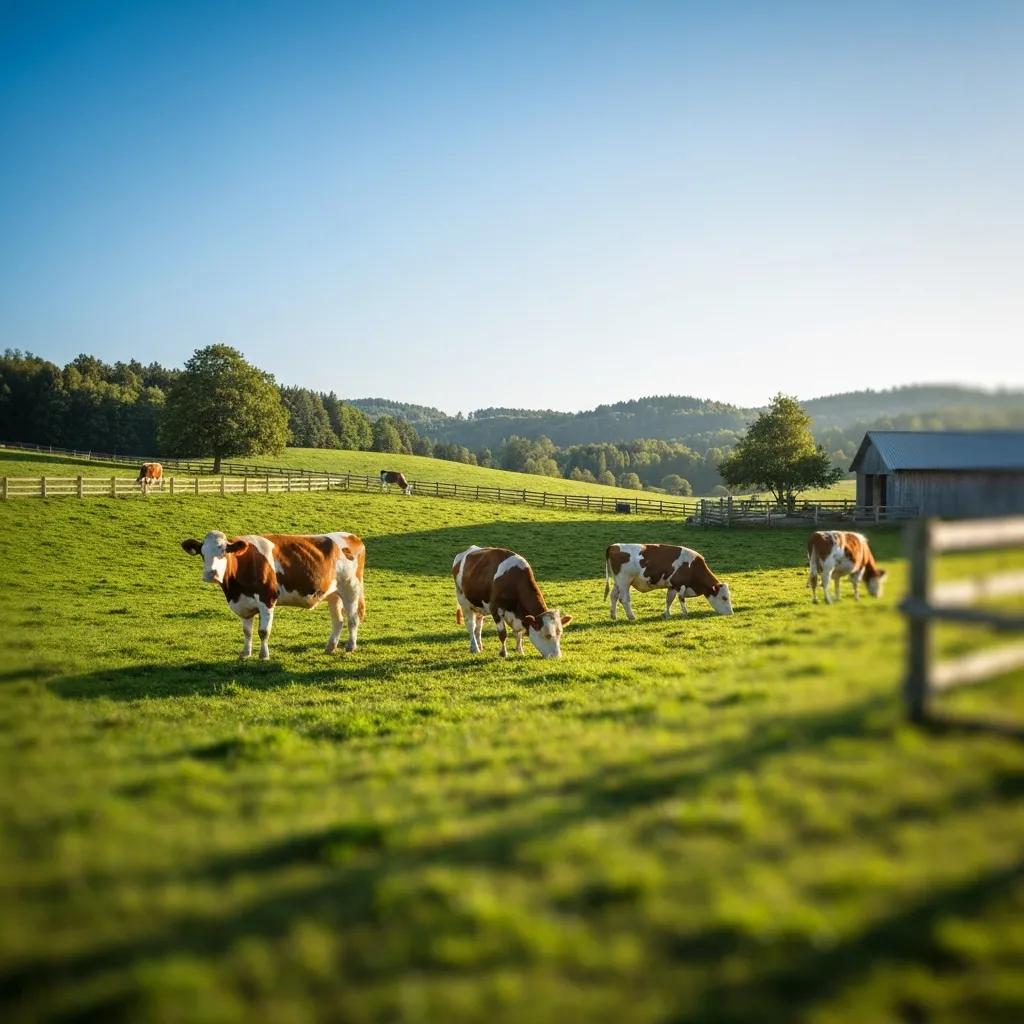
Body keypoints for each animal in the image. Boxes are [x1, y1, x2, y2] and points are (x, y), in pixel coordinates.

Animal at [181, 531, 366, 659]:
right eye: (202, 553)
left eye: (224, 551)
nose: (211, 574)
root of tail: (352, 537)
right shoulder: (243, 603)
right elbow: (247, 631)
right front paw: (245, 653)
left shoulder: (267, 599)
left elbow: (263, 631)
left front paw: (264, 656)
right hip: (333, 594)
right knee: (338, 621)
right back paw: (330, 647)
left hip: (350, 589)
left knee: (352, 618)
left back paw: (350, 646)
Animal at [604, 543, 733, 620]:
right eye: (724, 598)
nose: (731, 613)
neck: (692, 566)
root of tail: (614, 546)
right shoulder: (679, 584)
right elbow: (681, 599)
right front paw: (685, 613)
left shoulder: (672, 586)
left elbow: (669, 600)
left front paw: (666, 614)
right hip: (624, 581)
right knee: (624, 599)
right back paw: (631, 617)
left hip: (618, 582)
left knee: (613, 596)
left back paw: (613, 615)